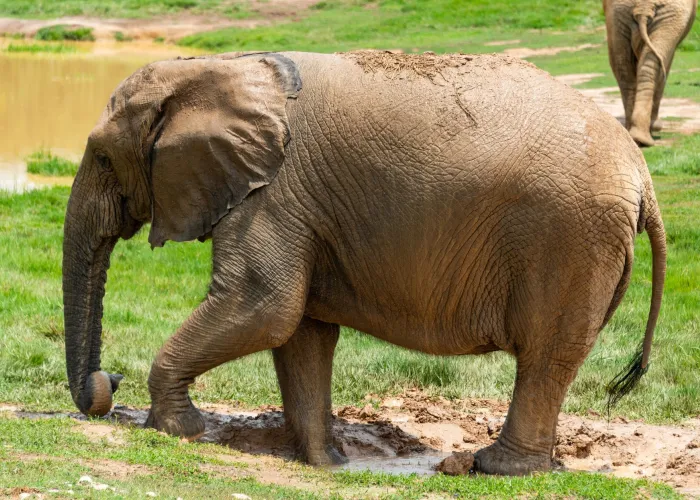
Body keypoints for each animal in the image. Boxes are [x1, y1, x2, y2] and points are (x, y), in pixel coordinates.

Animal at [63, 50, 666, 476]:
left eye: (101, 158)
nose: (107, 381)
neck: (220, 67)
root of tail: (642, 174)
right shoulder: (299, 205)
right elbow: (300, 330)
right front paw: (323, 463)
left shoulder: (272, 194)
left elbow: (264, 305)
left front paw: (179, 430)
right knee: (554, 358)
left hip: (568, 238)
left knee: (545, 356)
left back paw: (495, 469)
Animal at [604, 0, 696, 147]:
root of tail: (643, 7)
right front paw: (655, 127)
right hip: (671, 17)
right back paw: (645, 135)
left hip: (619, 14)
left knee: (622, 66)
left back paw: (635, 136)